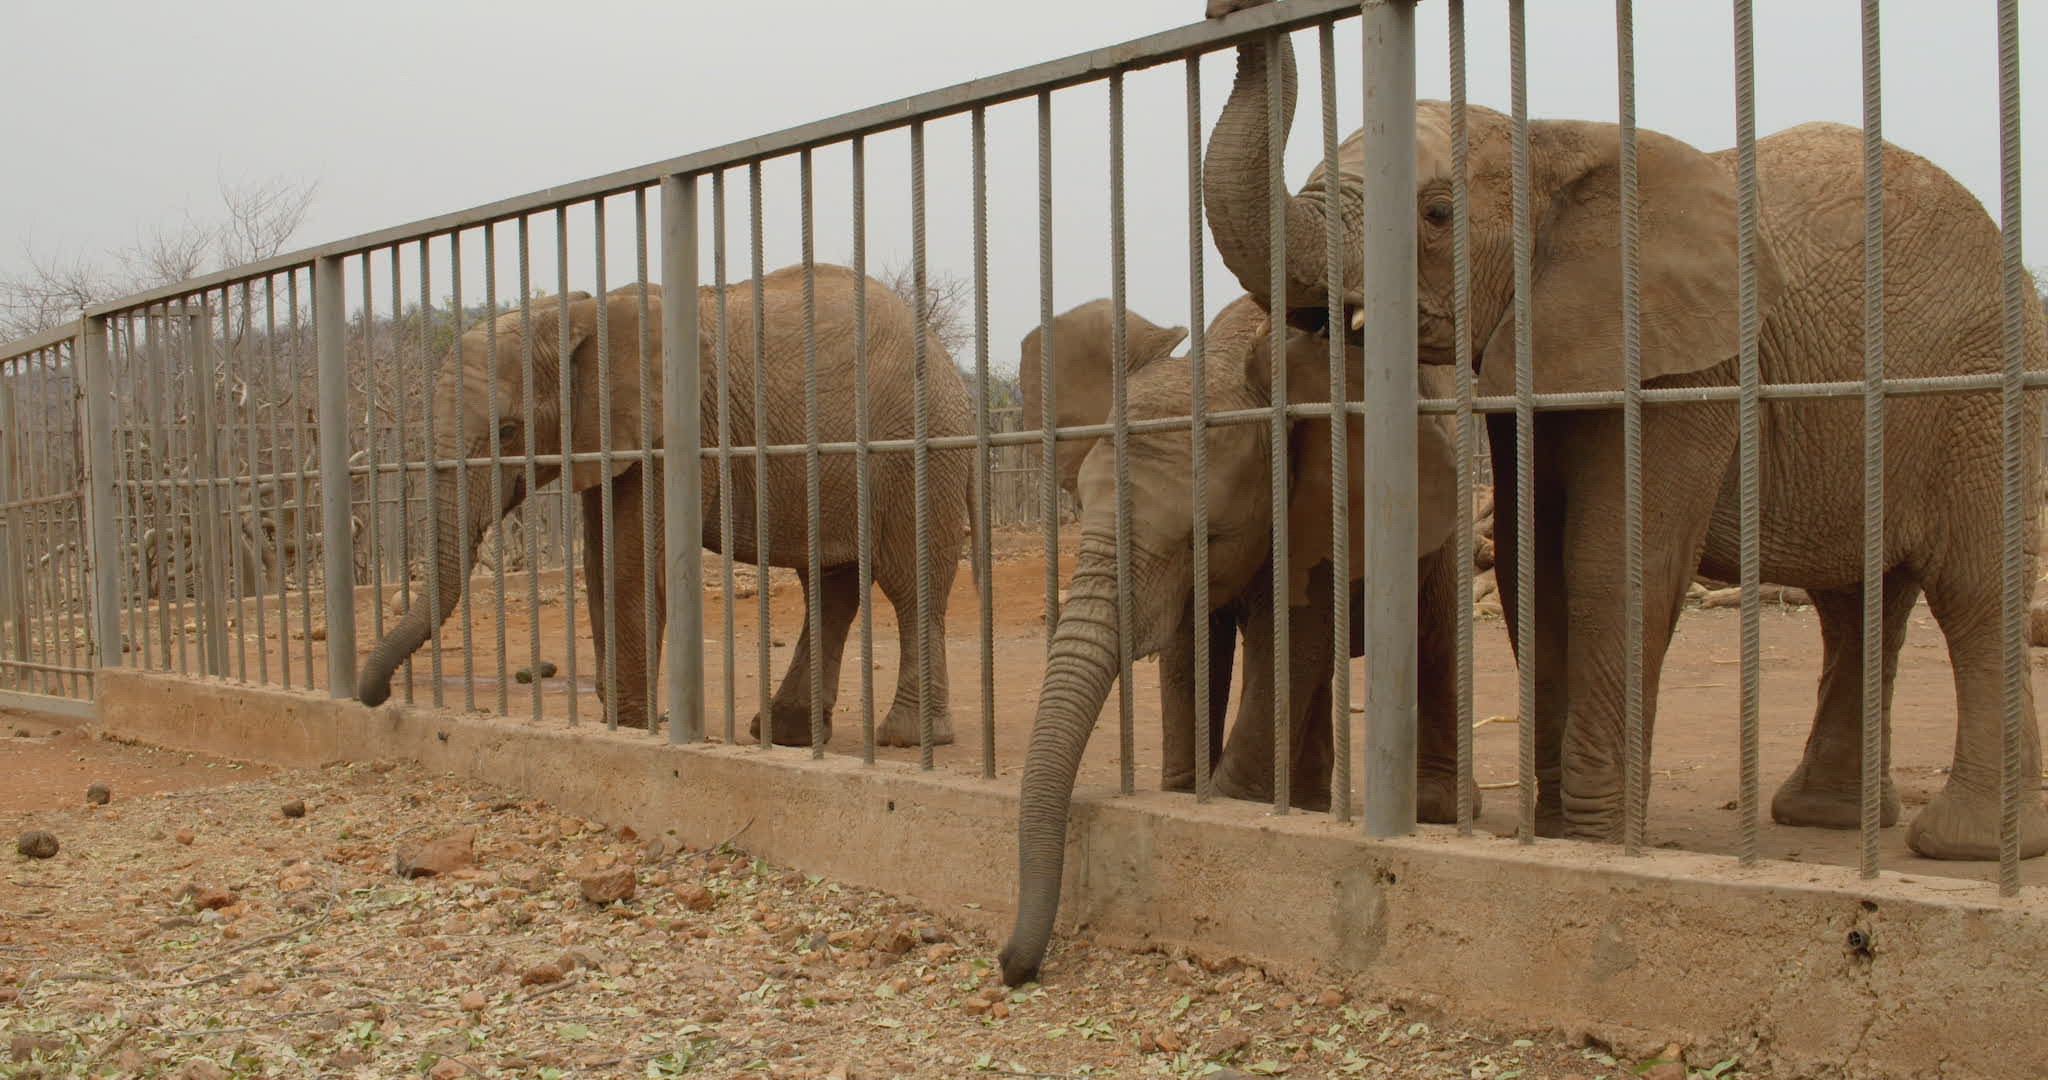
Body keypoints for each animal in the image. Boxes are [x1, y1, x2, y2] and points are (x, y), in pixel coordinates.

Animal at [357, 265, 974, 749]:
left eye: (508, 431)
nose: (377, 698)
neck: (580, 313)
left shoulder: (672, 432)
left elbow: (633, 567)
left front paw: (634, 729)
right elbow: (600, 564)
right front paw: (624, 721)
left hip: (920, 450)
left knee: (910, 582)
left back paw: (906, 738)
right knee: (830, 584)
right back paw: (788, 733)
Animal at [1199, 0, 2048, 860]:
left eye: (1436, 216)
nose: (1231, 11)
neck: (1553, 145)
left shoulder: (1688, 365)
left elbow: (1610, 562)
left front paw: (1597, 837)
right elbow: (1532, 564)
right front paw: (1558, 832)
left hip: (1984, 402)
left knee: (1974, 589)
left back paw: (1968, 845)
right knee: (1859, 604)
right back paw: (1832, 818)